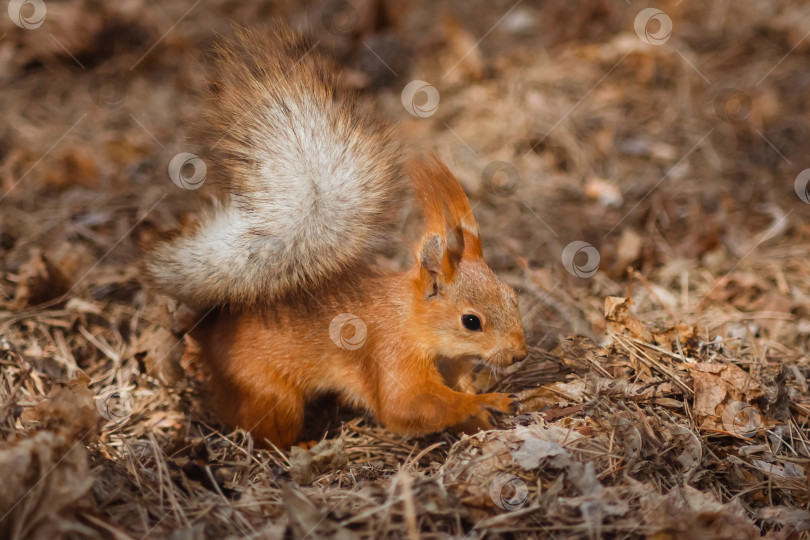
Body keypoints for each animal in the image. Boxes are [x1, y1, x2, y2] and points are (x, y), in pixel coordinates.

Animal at [144, 26, 524, 448]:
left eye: (513, 295)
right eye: (471, 321)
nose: (520, 354)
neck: (414, 322)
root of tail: (208, 330)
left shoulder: (452, 363)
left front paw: (482, 416)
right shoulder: (392, 353)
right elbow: (407, 408)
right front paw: (487, 401)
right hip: (272, 395)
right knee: (262, 432)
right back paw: (302, 445)